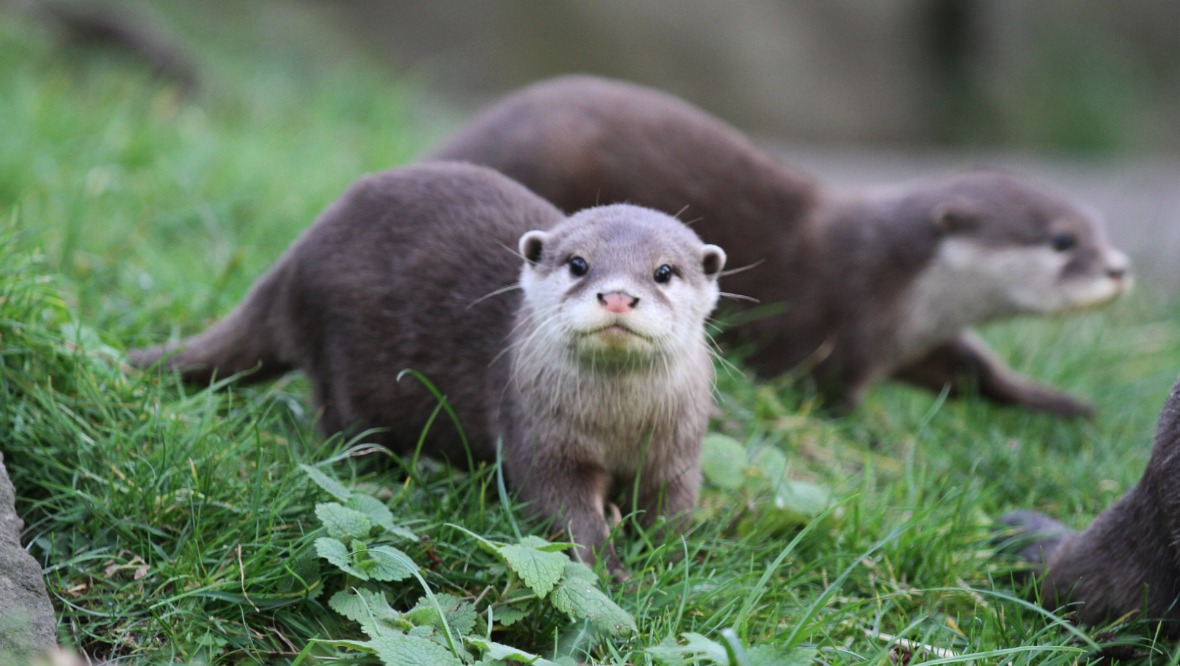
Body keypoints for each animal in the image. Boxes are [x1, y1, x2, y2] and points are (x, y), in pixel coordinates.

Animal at [124, 161, 722, 571]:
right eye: (579, 263)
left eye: (664, 271)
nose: (618, 296)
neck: (618, 425)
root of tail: (294, 261)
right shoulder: (543, 438)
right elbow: (562, 508)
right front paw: (611, 570)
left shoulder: (678, 449)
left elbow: (673, 507)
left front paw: (674, 563)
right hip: (344, 367)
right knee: (340, 427)